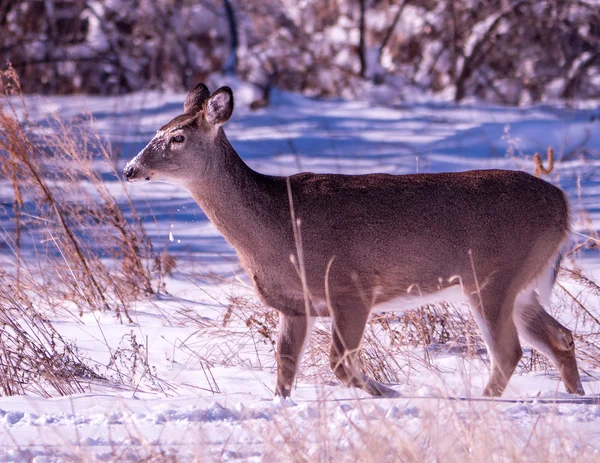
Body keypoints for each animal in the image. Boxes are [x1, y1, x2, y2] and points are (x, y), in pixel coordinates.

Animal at [123, 82, 584, 398]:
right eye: (158, 130)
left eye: (177, 137)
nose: (129, 169)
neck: (276, 227)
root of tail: (562, 204)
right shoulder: (296, 304)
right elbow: (285, 364)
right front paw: (279, 406)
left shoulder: (351, 287)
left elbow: (339, 363)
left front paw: (390, 394)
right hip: (521, 284)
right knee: (561, 337)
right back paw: (575, 395)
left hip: (491, 276)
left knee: (508, 352)